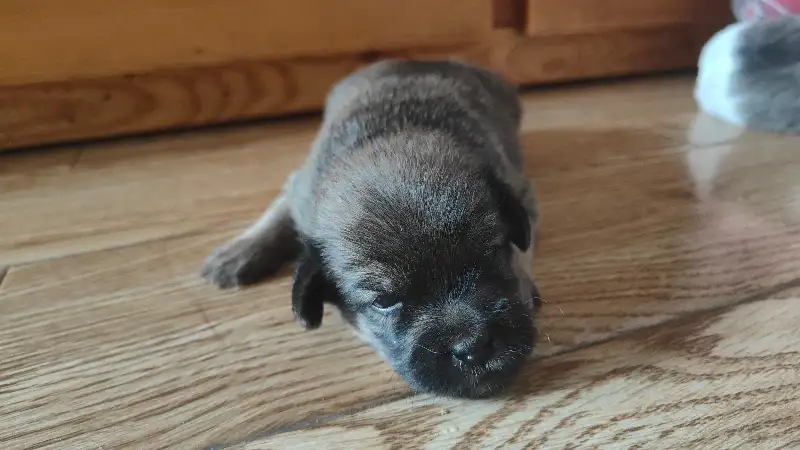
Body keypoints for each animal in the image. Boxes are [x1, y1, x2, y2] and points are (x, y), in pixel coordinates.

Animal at [200, 59, 540, 398]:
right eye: (384, 302)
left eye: (493, 258)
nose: (473, 347)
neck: (391, 134)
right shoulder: (300, 187)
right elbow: (278, 209)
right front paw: (242, 250)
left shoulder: (521, 191)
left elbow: (525, 248)